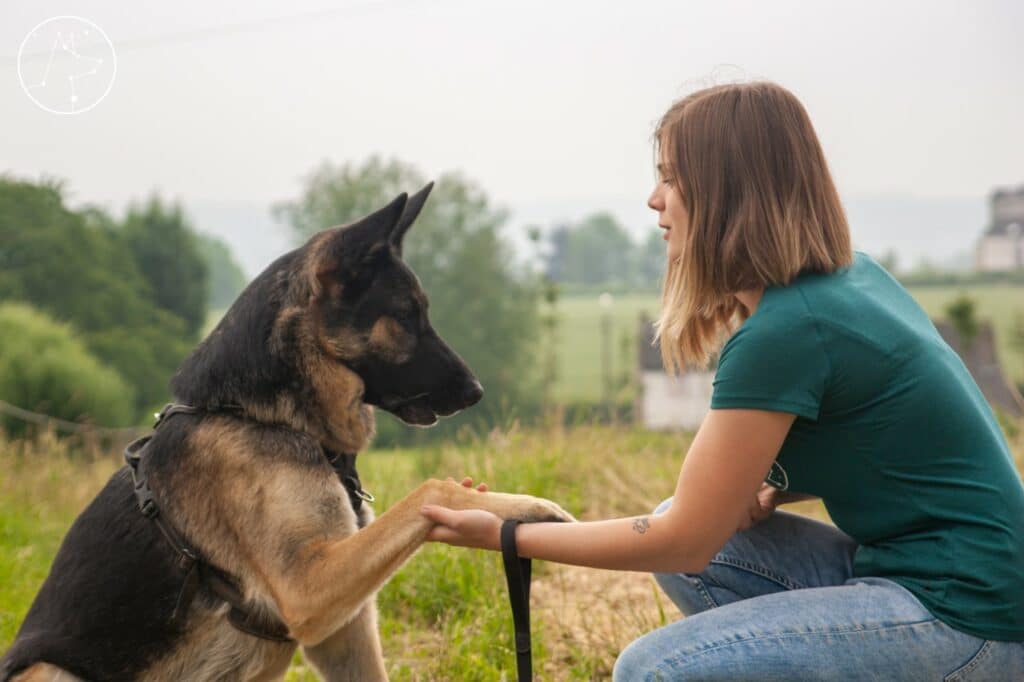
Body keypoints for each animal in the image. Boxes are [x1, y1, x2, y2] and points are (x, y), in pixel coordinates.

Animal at [0, 183, 573, 675]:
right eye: (408, 315)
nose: (476, 390)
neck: (260, 416)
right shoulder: (307, 585)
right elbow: (431, 489)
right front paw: (522, 503)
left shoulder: (343, 632)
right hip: (47, 669)